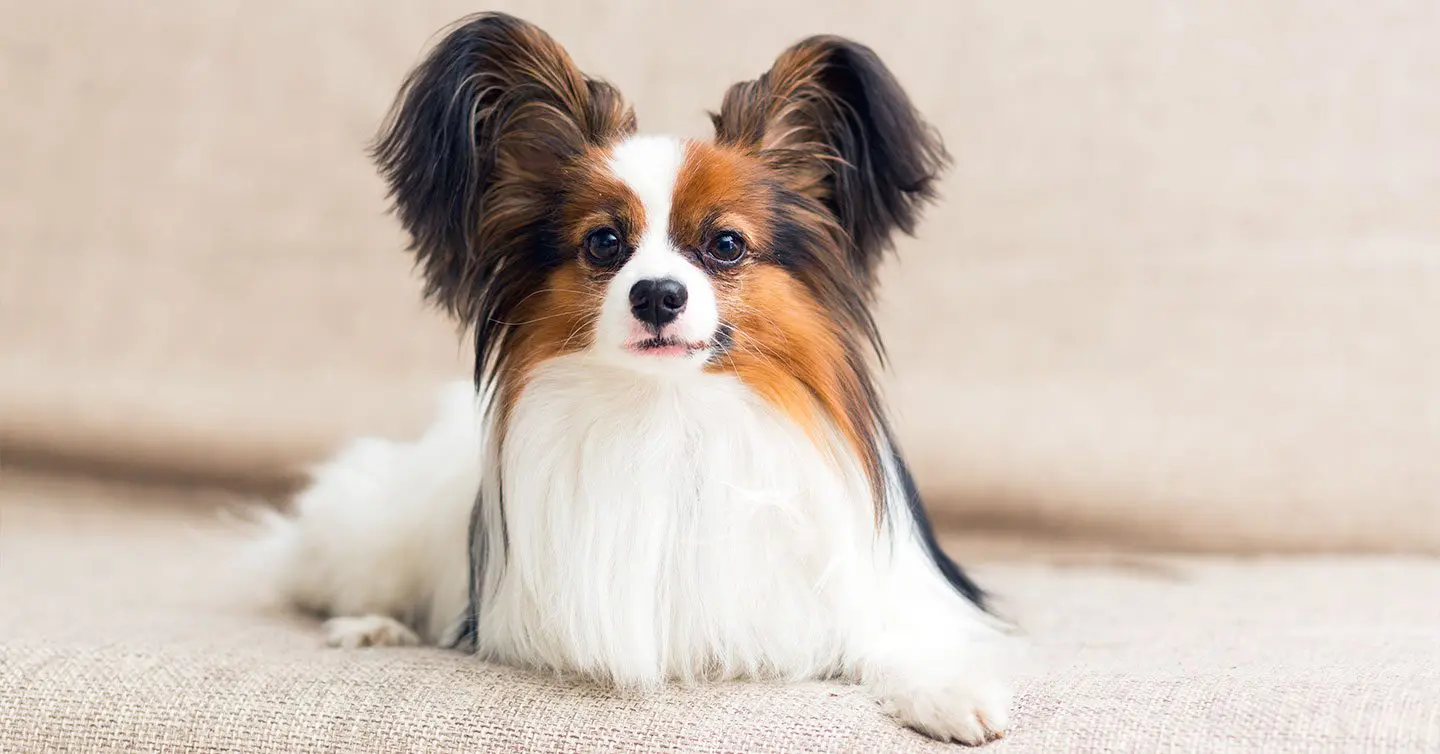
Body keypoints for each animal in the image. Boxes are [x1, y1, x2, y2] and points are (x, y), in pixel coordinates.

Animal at [262, 10, 1025, 742]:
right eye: (604, 243)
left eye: (726, 244)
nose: (657, 294)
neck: (671, 411)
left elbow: (895, 638)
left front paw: (948, 692)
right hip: (377, 535)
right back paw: (371, 625)